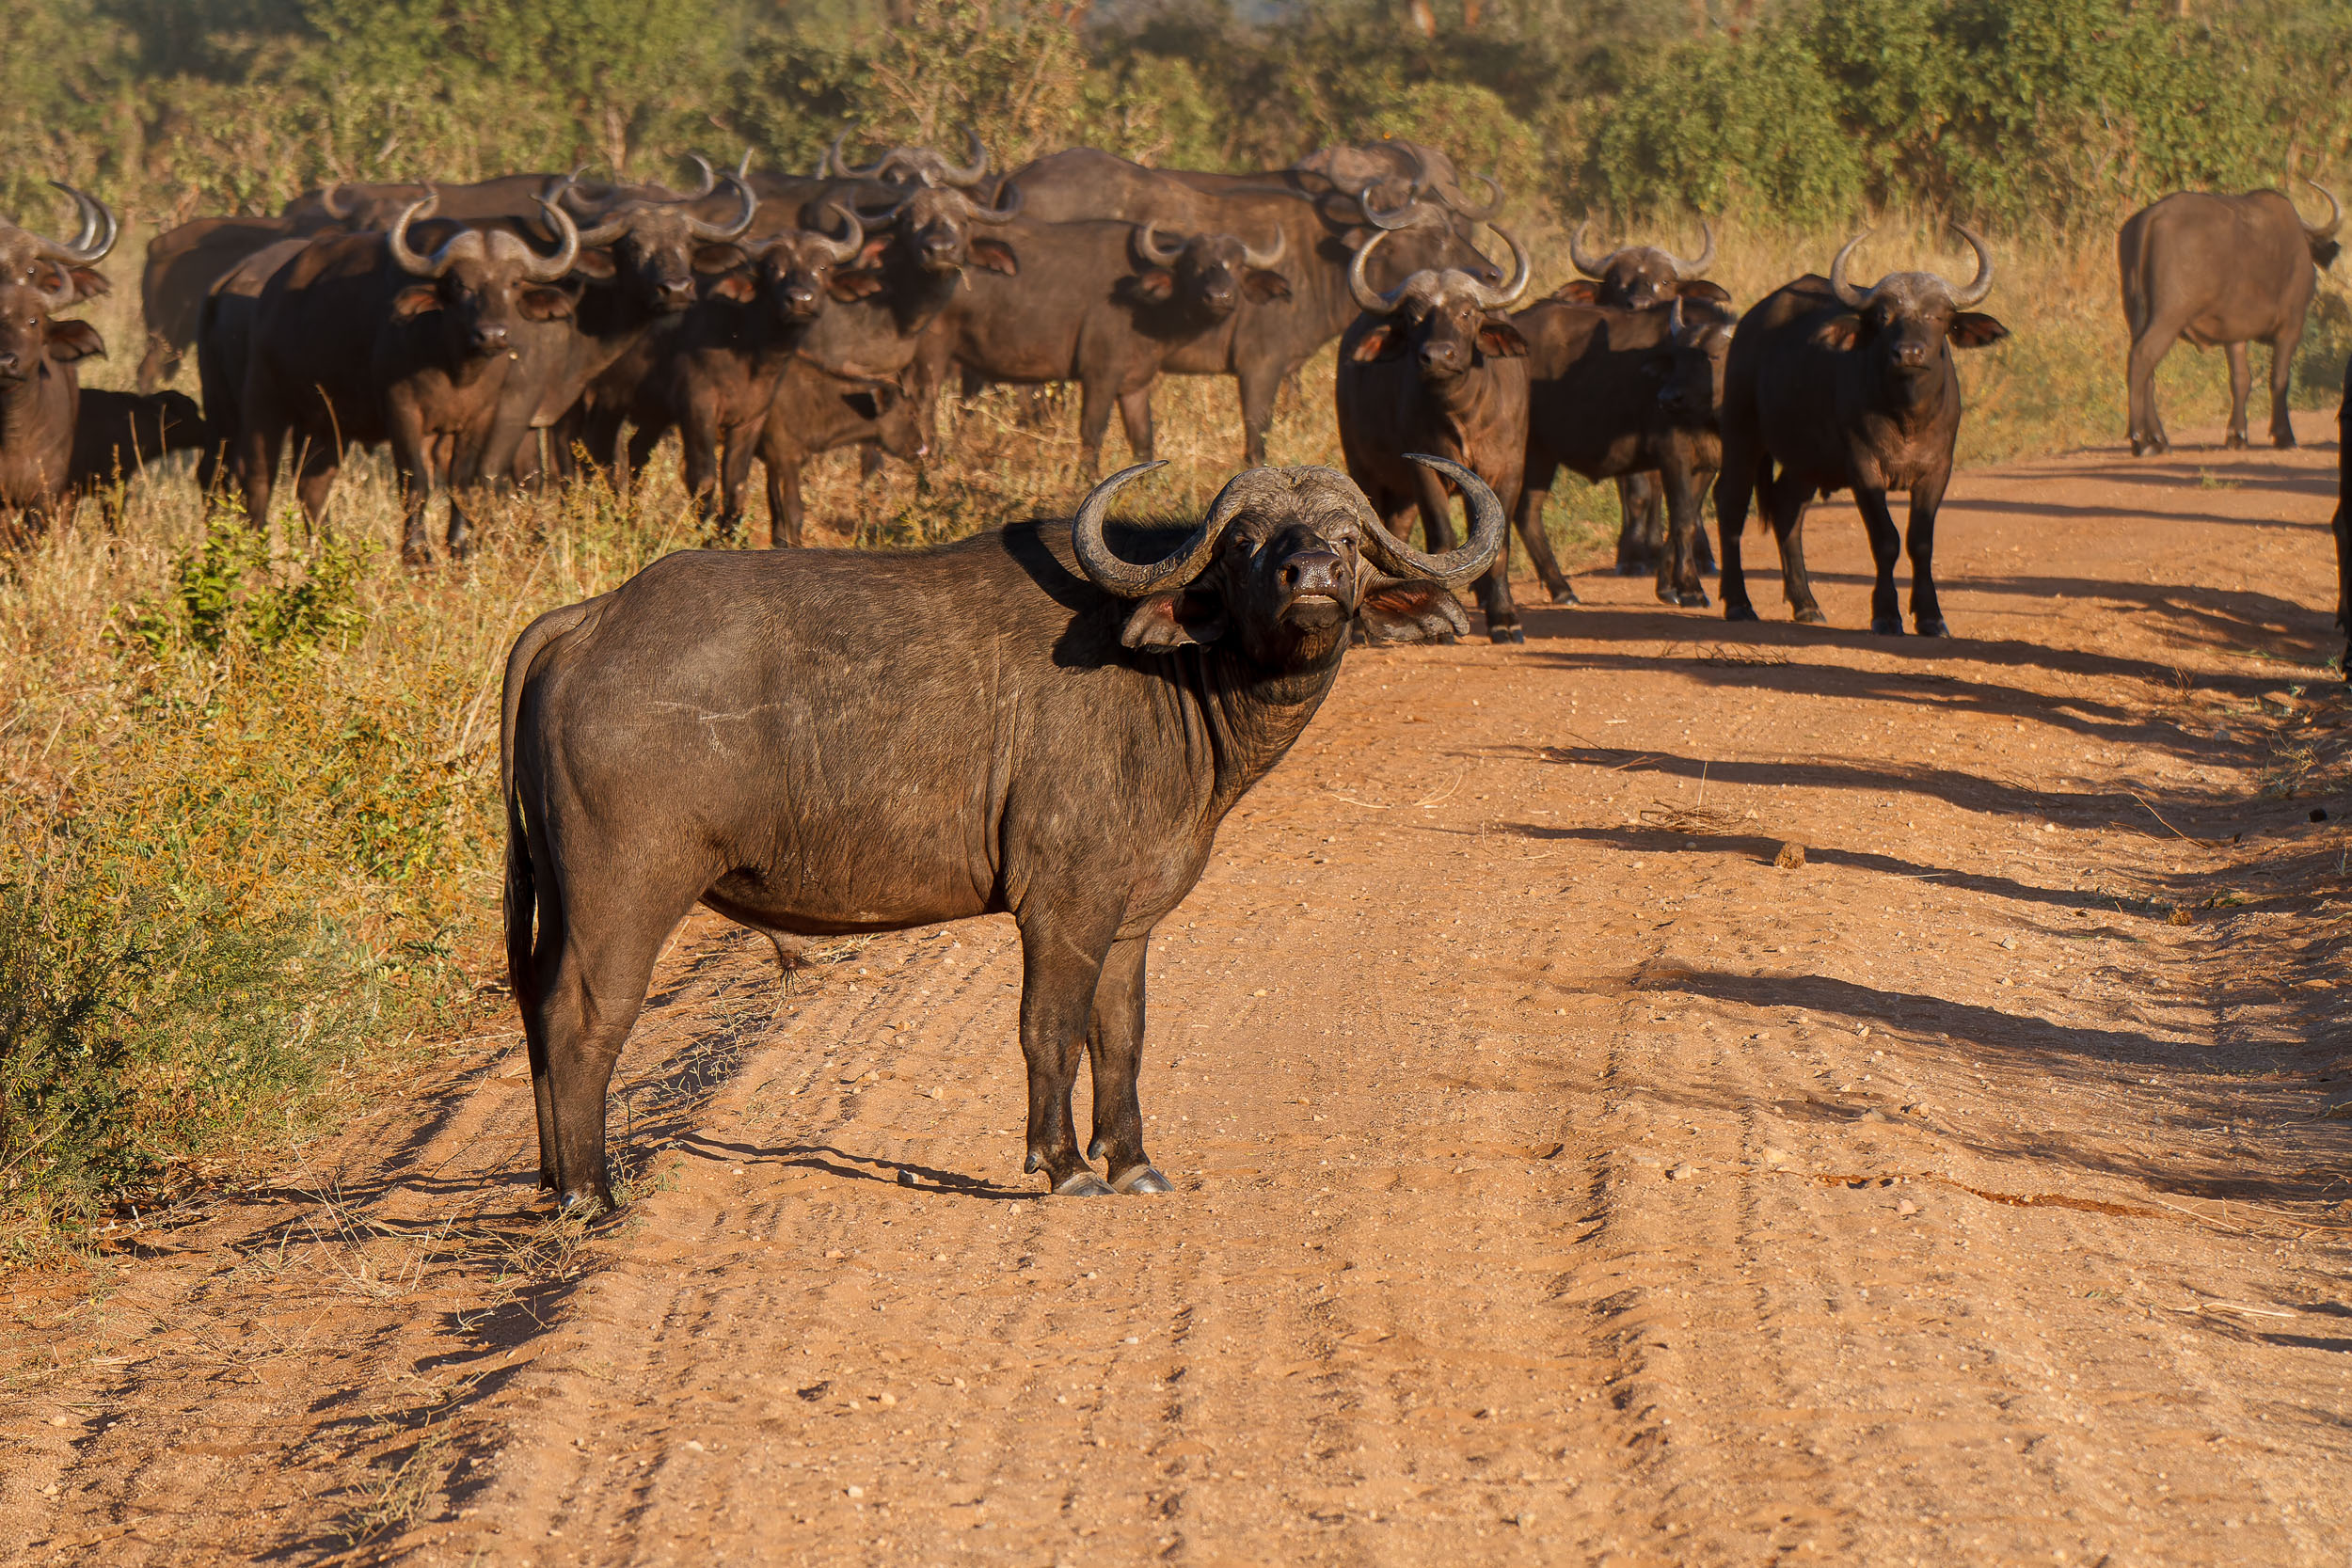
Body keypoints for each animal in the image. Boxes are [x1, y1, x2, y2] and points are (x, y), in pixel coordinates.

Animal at [500, 456, 1501, 1210]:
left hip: (559, 898)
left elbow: (1122, 1034)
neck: (1170, 677)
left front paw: (1132, 1161)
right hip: (625, 896)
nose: (1315, 580)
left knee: (536, 1008)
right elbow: (1047, 1028)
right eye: (1248, 542)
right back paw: (590, 1192)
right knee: (583, 1018)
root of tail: (592, 618)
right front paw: (1063, 1166)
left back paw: (553, 1180)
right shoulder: (1060, 907)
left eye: (1348, 539)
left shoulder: (1127, 921)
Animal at [1335, 226, 1534, 640]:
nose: (1438, 356)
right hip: (1365, 468)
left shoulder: (1508, 470)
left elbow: (1500, 545)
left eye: (1466, 312)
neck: (1462, 413)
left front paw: (1504, 618)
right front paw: (1440, 626)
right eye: (1414, 317)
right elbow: (1441, 540)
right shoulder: (1423, 471)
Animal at [1715, 228, 2006, 635]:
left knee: (1786, 509)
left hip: (1806, 461)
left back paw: (1806, 604)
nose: (1909, 353)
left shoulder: (1937, 469)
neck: (1906, 415)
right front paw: (1886, 614)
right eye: (1884, 316)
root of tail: (1748, 324)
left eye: (1937, 315)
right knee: (1730, 503)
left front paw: (1930, 616)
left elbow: (1921, 542)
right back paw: (1739, 603)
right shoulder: (1863, 468)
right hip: (1742, 434)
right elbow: (1886, 540)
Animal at [2119, 182, 2342, 455]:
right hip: (2168, 317)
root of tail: (2151, 217)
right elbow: (2279, 378)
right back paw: (2140, 439)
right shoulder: (2291, 326)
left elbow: (2241, 380)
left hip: (2136, 314)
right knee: (2142, 358)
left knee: (2147, 373)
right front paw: (2284, 436)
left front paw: (2237, 435)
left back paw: (2157, 439)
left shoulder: (2235, 334)